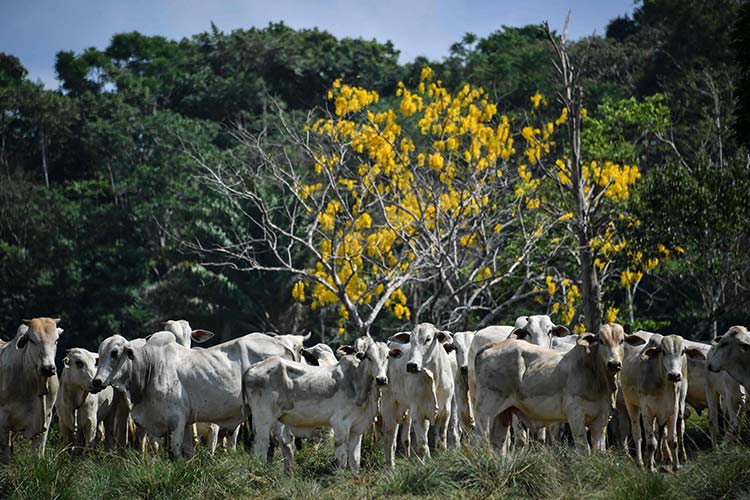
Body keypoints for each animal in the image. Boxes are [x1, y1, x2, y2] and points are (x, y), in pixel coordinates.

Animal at [0, 318, 62, 458]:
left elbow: (38, 455)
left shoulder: (46, 418)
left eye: (56, 340)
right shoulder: (3, 420)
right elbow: (5, 454)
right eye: (32, 340)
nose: (48, 368)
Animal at [90, 330, 296, 458]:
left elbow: (174, 452)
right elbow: (188, 452)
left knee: (279, 443)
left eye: (115, 352)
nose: (97, 382)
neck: (150, 367)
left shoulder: (176, 420)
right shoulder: (187, 422)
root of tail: (283, 345)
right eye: (99, 354)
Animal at [245, 336, 390, 472]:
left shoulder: (356, 430)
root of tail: (252, 368)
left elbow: (355, 461)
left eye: (387, 356)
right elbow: (341, 461)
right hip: (263, 419)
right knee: (261, 447)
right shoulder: (340, 425)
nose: (381, 379)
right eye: (368, 357)